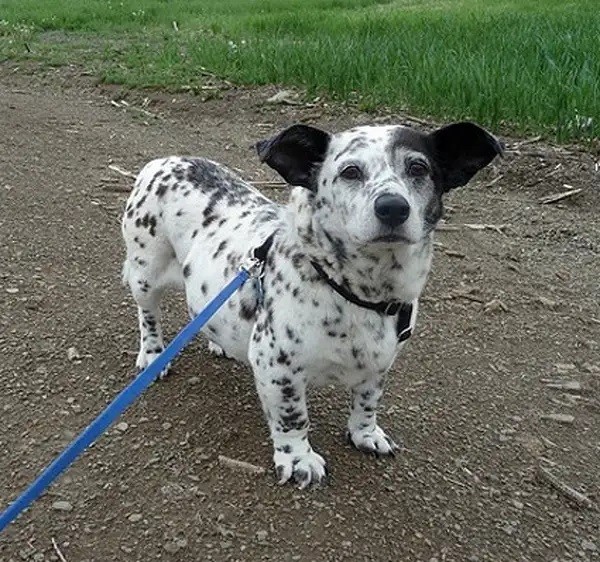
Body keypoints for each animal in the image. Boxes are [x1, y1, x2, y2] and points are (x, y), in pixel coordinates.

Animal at [120, 120, 502, 484]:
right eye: (350, 171)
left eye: (419, 167)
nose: (393, 207)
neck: (358, 293)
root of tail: (163, 160)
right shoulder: (277, 368)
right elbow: (293, 418)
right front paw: (298, 458)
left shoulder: (380, 363)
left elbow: (368, 402)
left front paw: (366, 434)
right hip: (145, 272)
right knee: (148, 314)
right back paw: (153, 354)